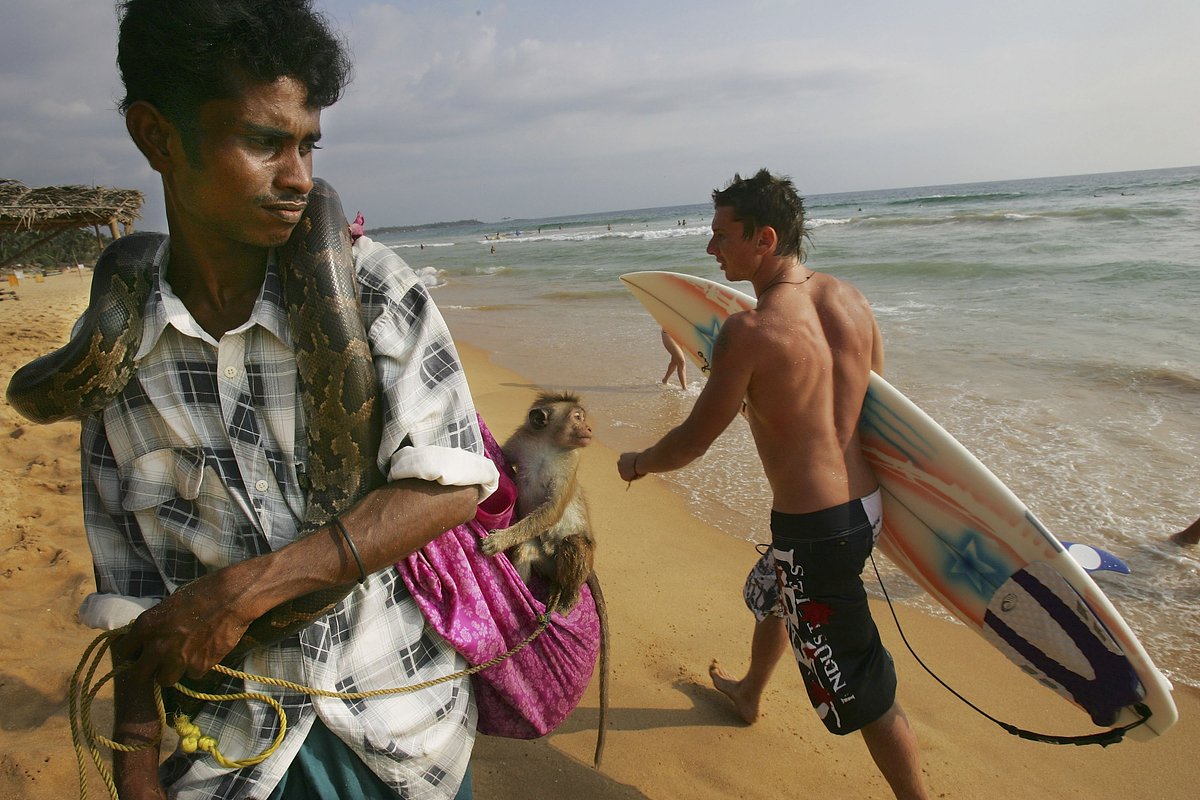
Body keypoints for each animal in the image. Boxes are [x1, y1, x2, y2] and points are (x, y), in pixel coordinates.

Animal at [477, 391, 609, 767]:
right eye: (578, 417)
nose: (590, 428)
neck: (548, 445)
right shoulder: (521, 442)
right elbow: (506, 455)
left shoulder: (569, 465)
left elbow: (550, 511)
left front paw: (499, 541)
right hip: (544, 562)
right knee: (527, 551)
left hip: (574, 559)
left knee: (571, 543)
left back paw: (566, 600)